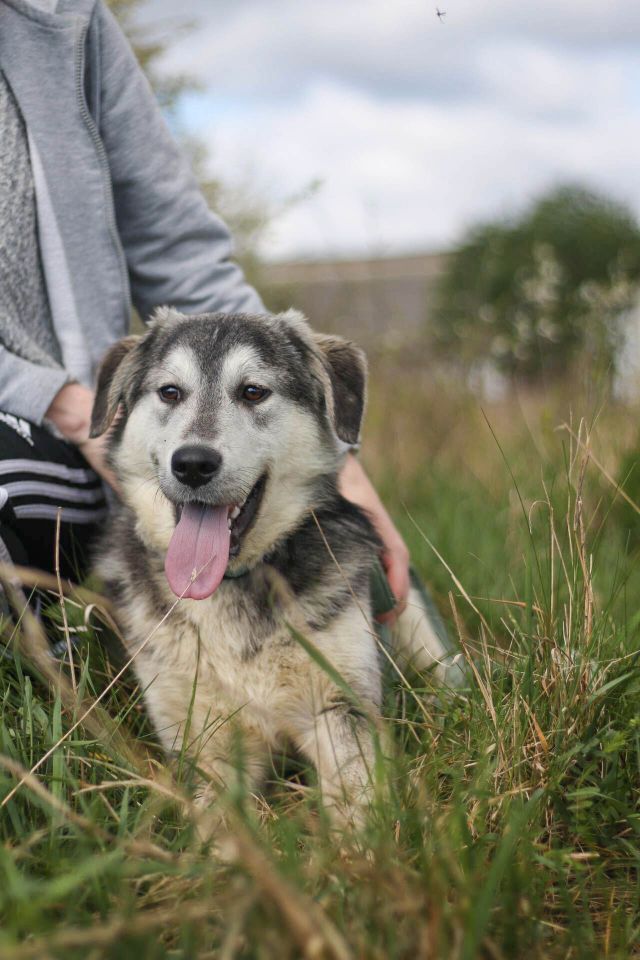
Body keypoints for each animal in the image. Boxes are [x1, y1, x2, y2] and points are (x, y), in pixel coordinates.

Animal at [89, 308, 460, 832]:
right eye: (170, 392)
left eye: (252, 391)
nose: (193, 464)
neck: (230, 584)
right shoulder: (202, 739)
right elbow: (217, 826)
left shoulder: (341, 707)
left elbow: (356, 804)